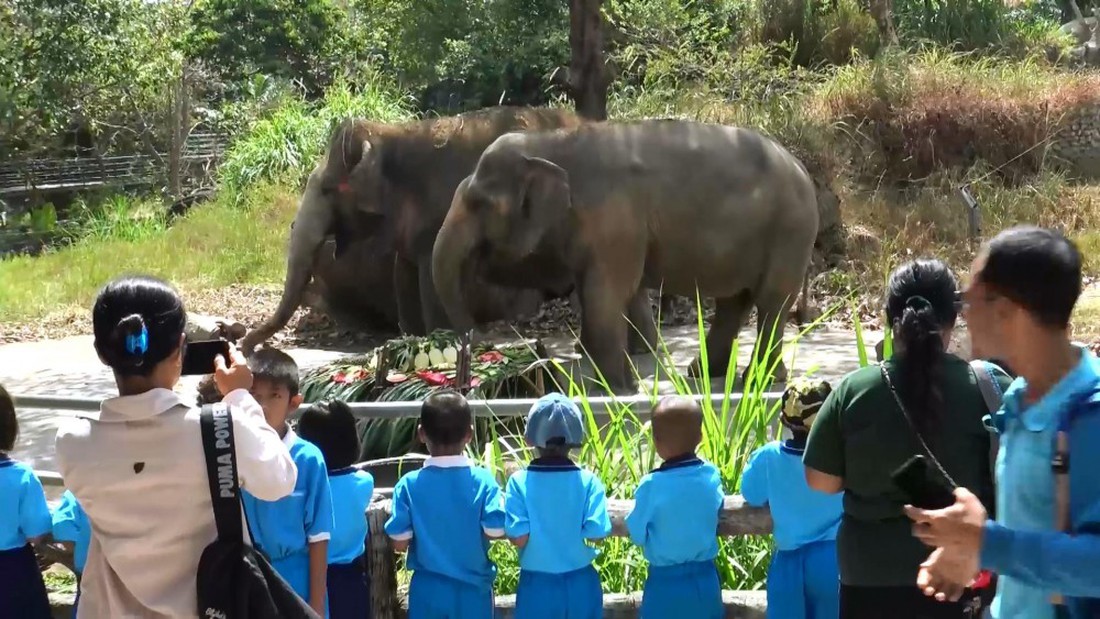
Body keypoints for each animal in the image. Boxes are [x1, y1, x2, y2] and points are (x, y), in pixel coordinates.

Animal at [433, 120, 822, 389]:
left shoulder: (614, 219)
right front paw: (616, 377)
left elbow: (605, 293)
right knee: (736, 302)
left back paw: (758, 380)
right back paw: (703, 373)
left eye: (480, 204)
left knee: (771, 303)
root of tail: (803, 169)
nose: (465, 378)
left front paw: (612, 389)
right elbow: (608, 291)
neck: (552, 140)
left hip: (790, 233)